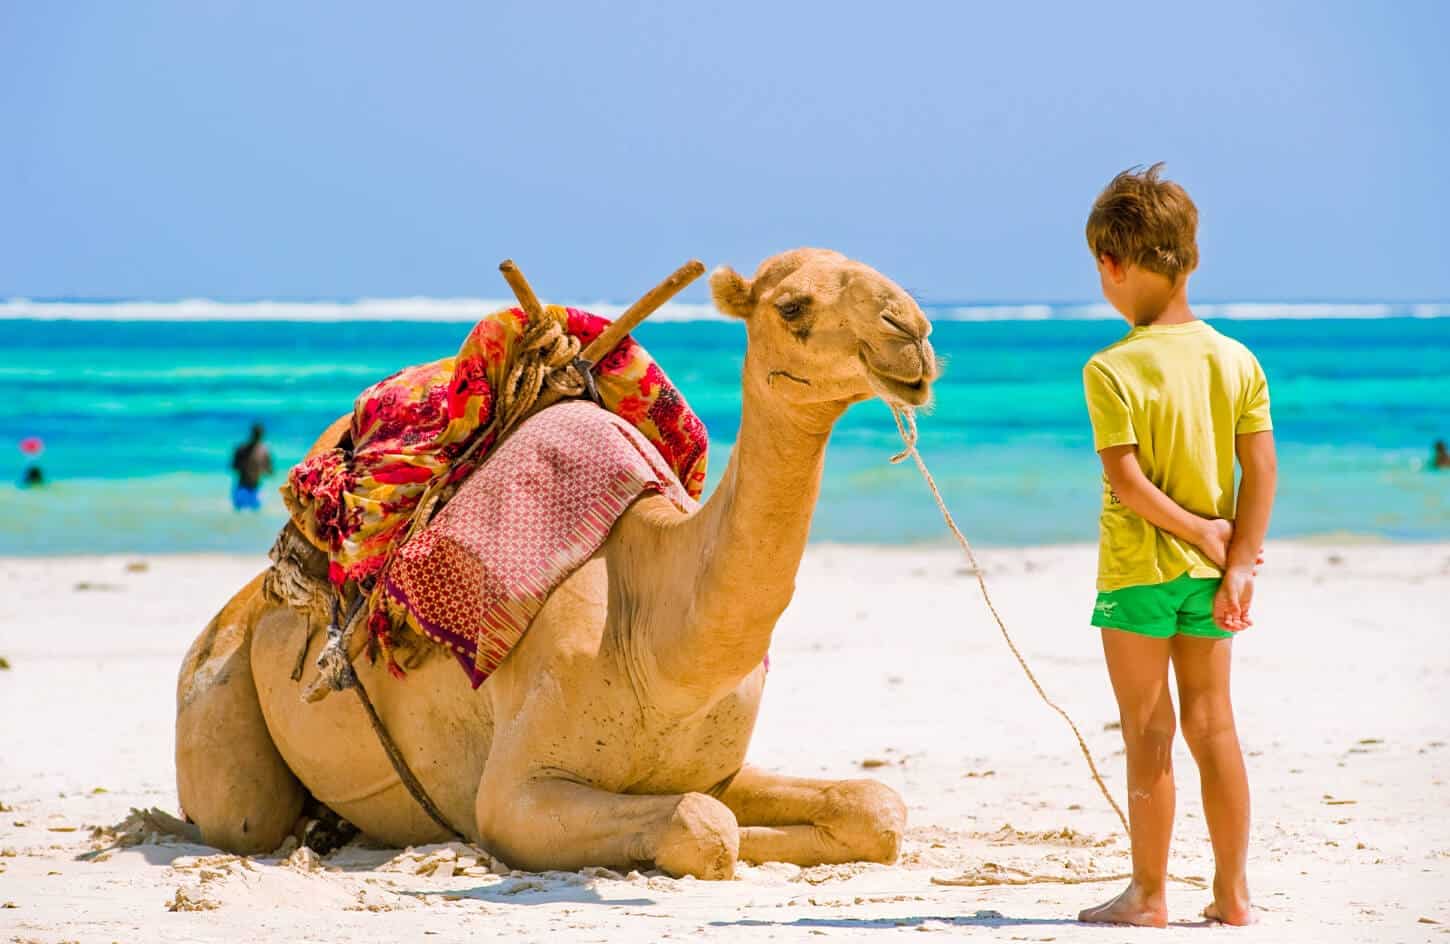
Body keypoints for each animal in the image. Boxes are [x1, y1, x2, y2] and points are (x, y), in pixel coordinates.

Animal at [175, 248, 937, 879]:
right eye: (793, 306)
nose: (914, 333)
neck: (657, 635)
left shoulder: (720, 767)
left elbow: (873, 806)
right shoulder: (514, 796)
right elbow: (705, 824)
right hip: (218, 699)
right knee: (240, 817)